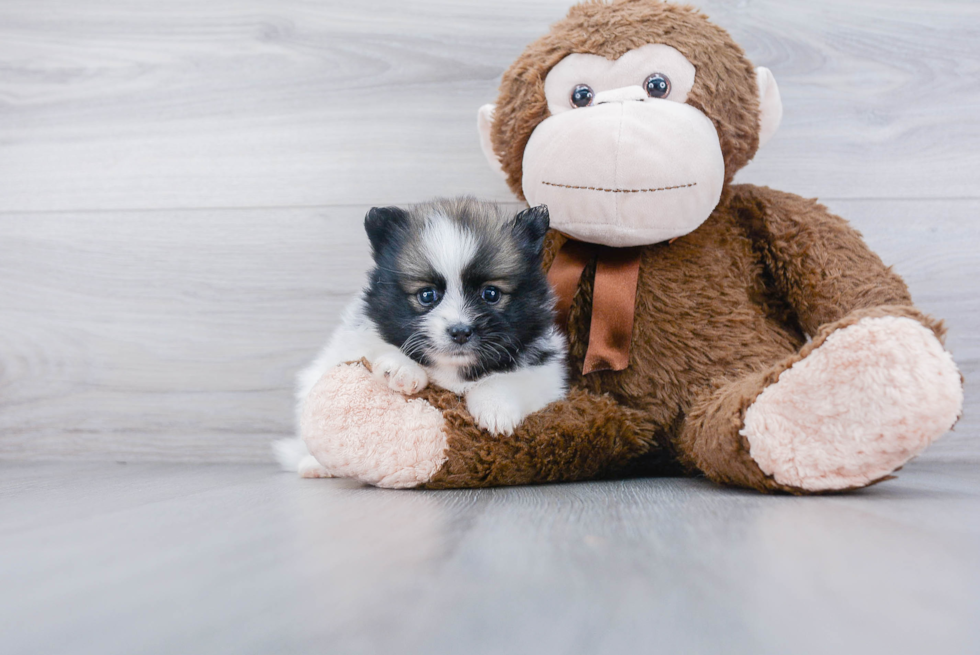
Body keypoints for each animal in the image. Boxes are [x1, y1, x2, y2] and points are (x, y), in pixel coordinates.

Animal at [274, 197, 568, 474]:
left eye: (491, 294)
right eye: (427, 296)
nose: (460, 332)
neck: (453, 370)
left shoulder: (546, 371)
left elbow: (513, 379)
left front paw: (495, 408)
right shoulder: (356, 339)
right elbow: (378, 347)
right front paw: (402, 369)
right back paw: (314, 466)